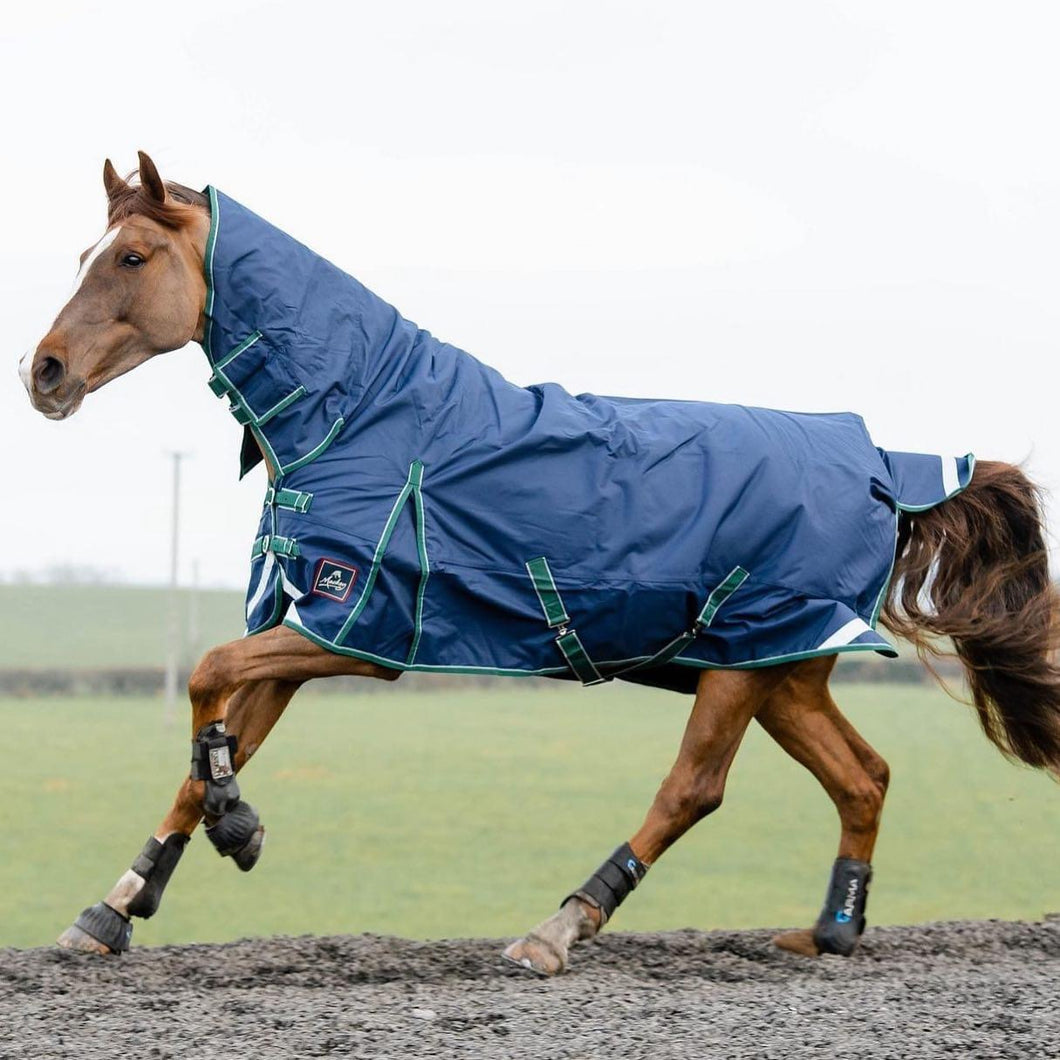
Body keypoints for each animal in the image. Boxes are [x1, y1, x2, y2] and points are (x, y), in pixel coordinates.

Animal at [18, 153, 1060, 970]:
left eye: (132, 256)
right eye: (86, 256)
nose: (44, 373)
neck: (362, 414)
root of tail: (882, 461)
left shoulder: (358, 627)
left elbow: (205, 676)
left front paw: (240, 827)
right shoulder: (307, 622)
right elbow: (206, 747)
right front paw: (115, 907)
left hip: (744, 657)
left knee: (694, 789)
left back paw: (560, 927)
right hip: (782, 665)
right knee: (864, 775)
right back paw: (833, 929)